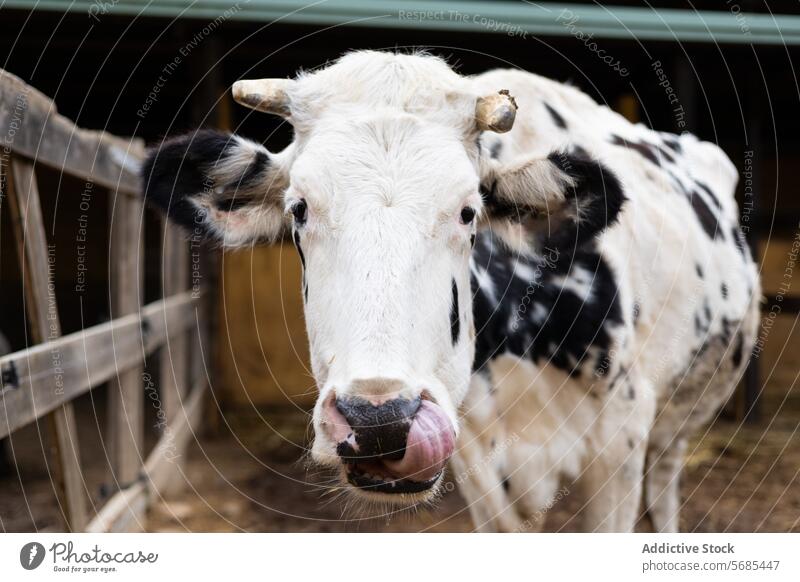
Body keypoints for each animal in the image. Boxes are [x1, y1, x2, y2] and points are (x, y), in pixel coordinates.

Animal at [141, 50, 760, 532]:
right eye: (299, 208)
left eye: (468, 211)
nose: (380, 420)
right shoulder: (478, 456)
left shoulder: (621, 437)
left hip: (685, 412)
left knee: (665, 485)